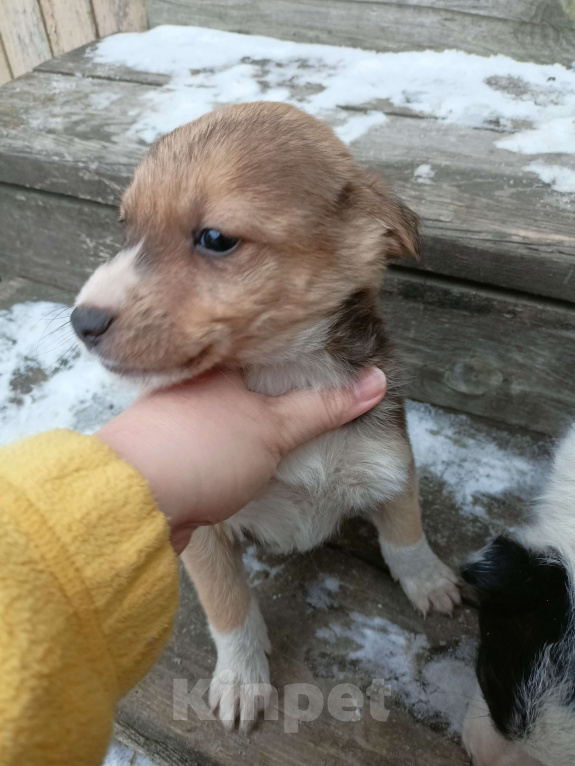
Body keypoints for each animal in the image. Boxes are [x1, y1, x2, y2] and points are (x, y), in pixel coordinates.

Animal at [71, 103, 460, 732]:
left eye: (216, 238)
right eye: (126, 229)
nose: (81, 321)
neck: (285, 375)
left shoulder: (391, 462)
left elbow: (406, 534)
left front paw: (428, 583)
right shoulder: (205, 533)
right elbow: (230, 608)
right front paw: (240, 679)